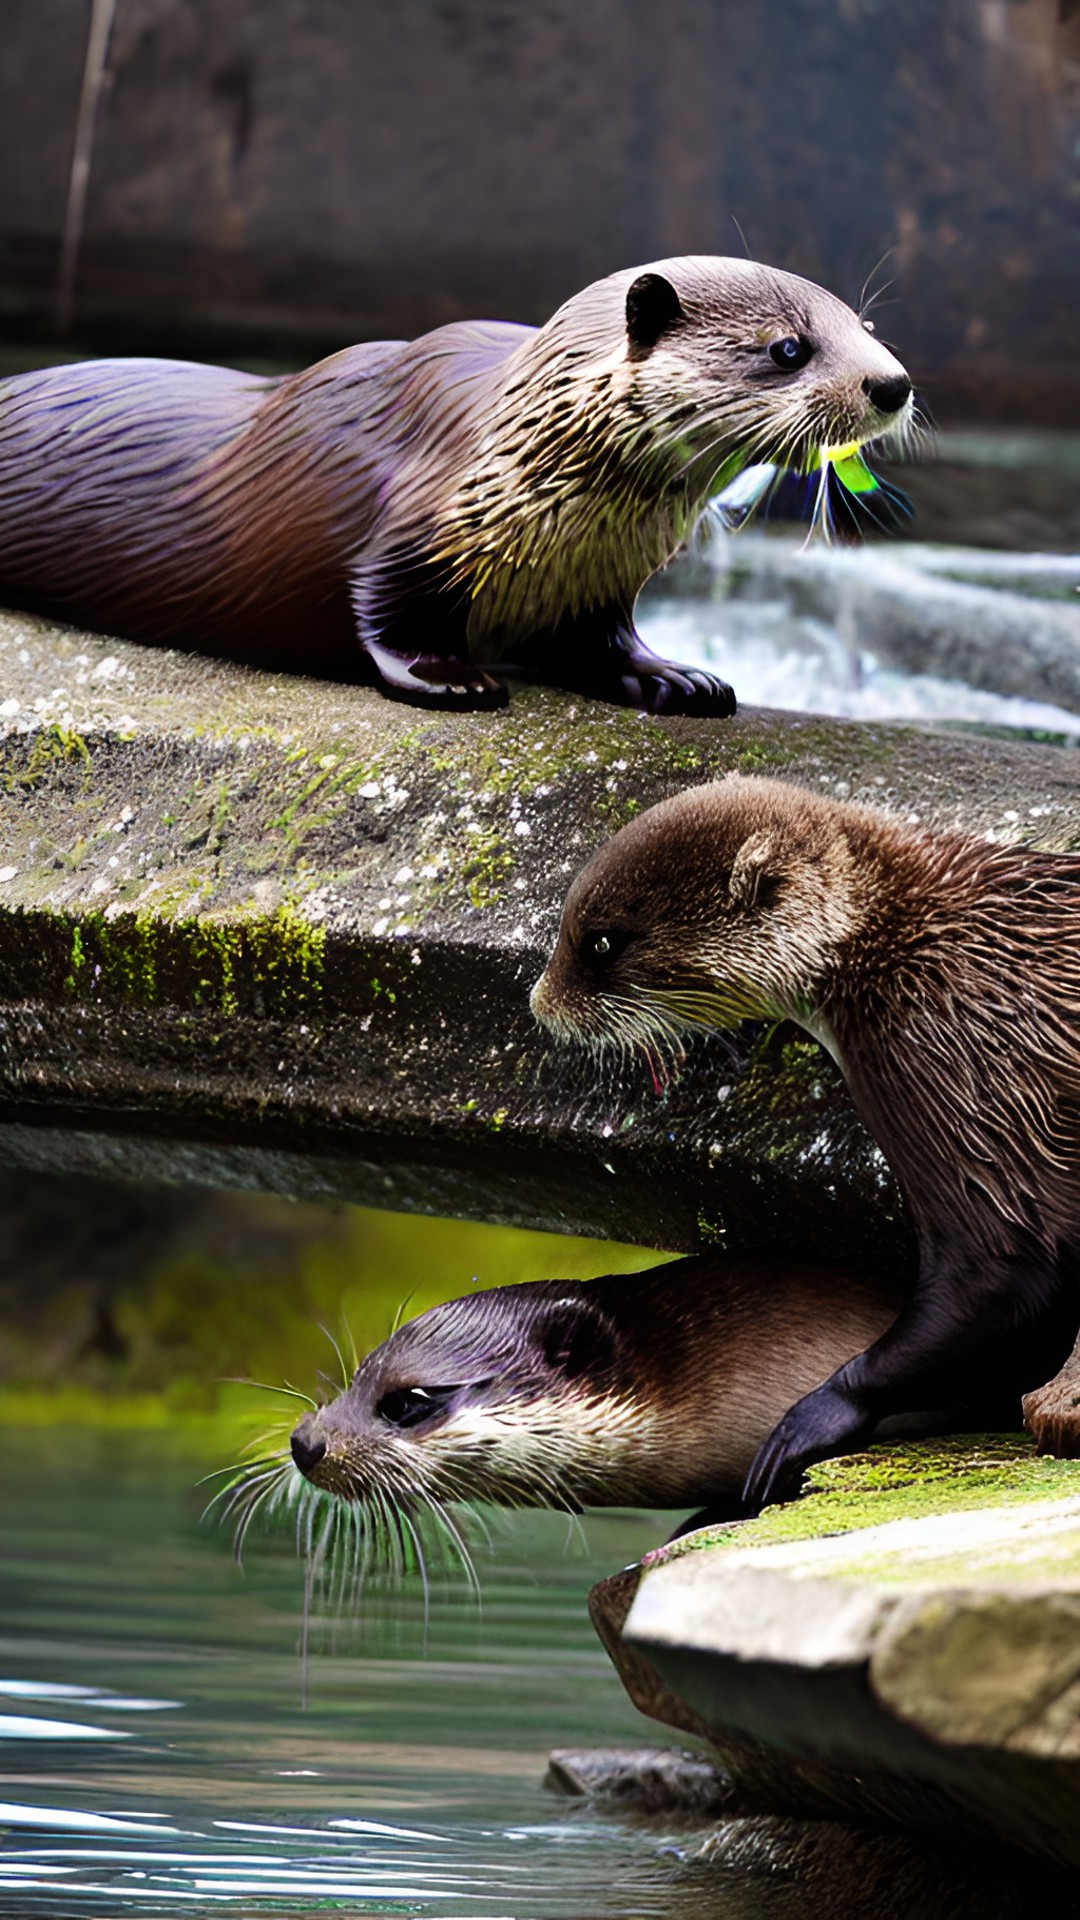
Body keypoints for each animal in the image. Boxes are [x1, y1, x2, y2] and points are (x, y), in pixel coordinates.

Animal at [0, 251, 907, 710]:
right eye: (787, 347)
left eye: (866, 326)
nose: (892, 384)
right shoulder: (411, 531)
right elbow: (381, 606)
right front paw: (449, 674)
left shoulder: (595, 583)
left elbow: (606, 642)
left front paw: (675, 677)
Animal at [530, 771, 1080, 1505]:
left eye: (602, 943)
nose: (539, 1002)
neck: (910, 944)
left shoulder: (950, 1067)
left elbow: (1004, 1271)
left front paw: (809, 1418)